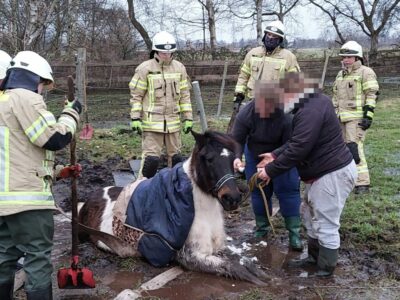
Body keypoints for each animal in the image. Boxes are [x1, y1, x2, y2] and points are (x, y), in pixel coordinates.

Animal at [77, 130, 268, 284]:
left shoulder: (218, 247)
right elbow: (232, 266)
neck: (203, 213)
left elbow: (243, 259)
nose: (232, 198)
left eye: (233, 159)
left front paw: (263, 274)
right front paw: (259, 281)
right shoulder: (191, 256)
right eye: (208, 159)